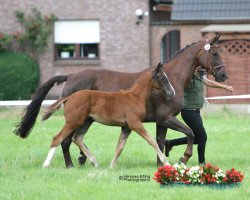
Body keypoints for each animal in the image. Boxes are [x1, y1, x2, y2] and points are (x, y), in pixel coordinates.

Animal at [41, 62, 175, 167]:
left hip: (86, 121)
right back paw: (46, 164)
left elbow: (119, 147)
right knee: (58, 138)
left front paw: (111, 166)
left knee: (77, 138)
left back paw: (95, 162)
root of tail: (69, 97)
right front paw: (166, 162)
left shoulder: (126, 126)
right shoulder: (135, 123)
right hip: (73, 122)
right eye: (163, 79)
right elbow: (152, 141)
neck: (135, 96)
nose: (172, 93)